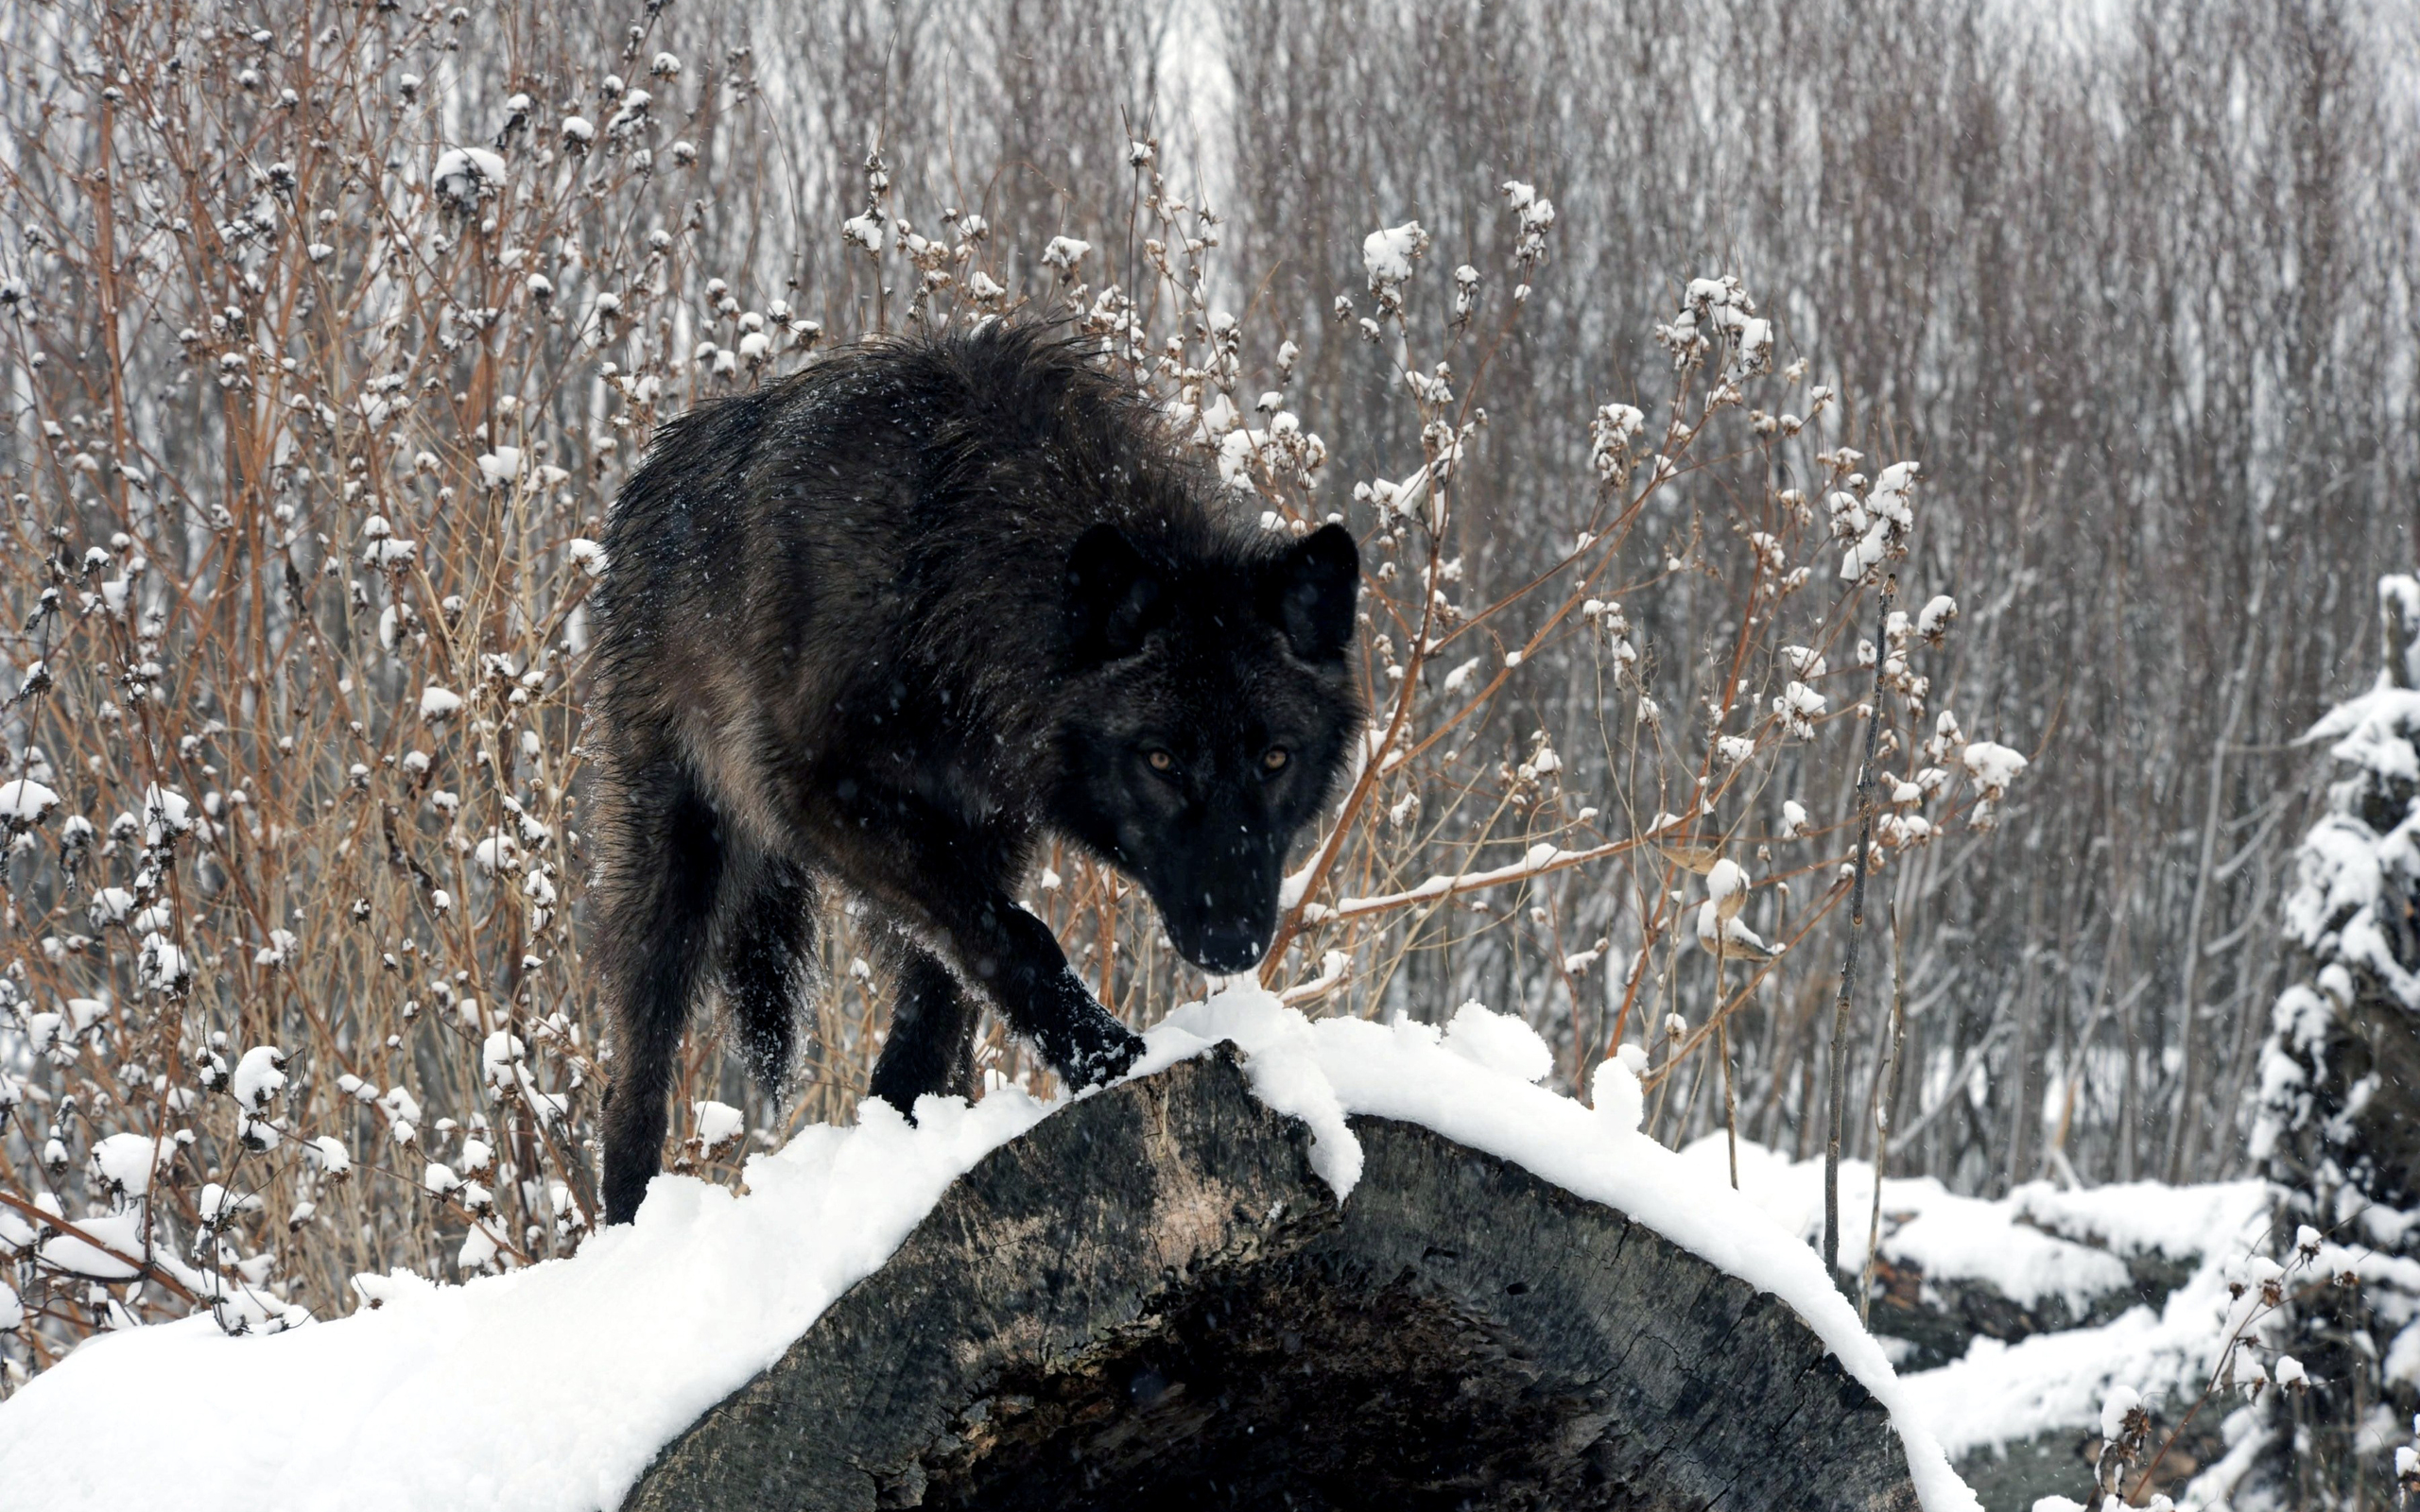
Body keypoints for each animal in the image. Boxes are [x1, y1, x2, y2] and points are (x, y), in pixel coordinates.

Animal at [588, 324, 1364, 1219]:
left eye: (1274, 759)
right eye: (1161, 760)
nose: (1233, 939)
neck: (949, 559)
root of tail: (654, 473)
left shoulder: (988, 833)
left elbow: (949, 994)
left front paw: (906, 1142)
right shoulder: (822, 798)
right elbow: (1015, 937)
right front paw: (1107, 1057)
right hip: (678, 868)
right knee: (635, 1071)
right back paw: (630, 1225)